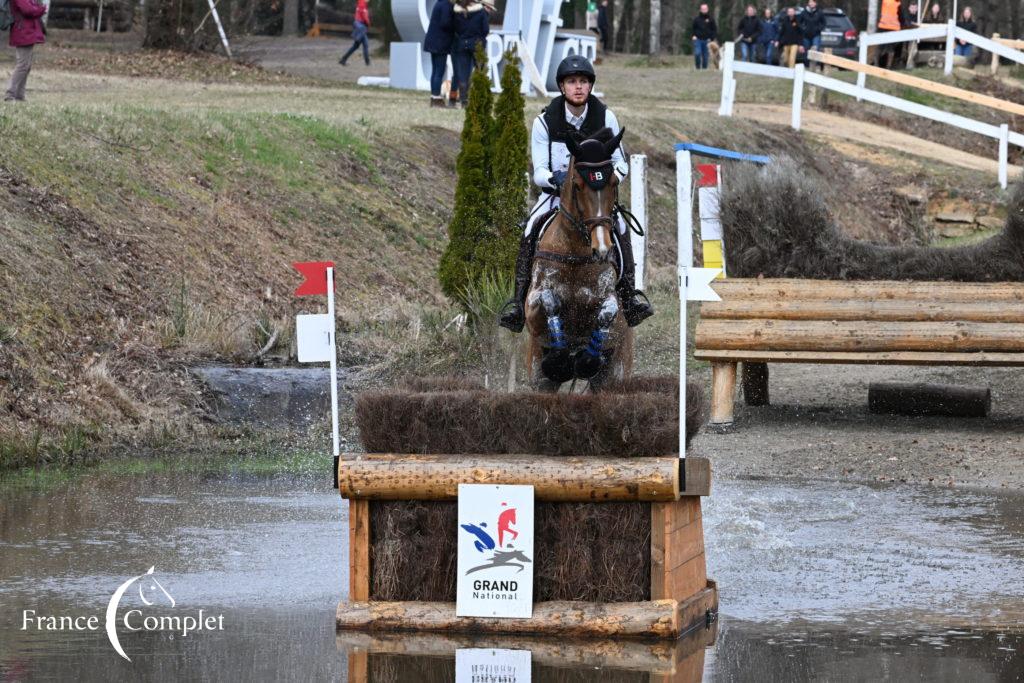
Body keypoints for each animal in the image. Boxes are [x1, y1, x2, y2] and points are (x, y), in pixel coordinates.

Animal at [528, 129, 630, 393]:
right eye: (577, 185)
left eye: (614, 183)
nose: (602, 248)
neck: (575, 251)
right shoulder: (532, 306)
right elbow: (548, 299)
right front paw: (560, 360)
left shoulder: (610, 302)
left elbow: (608, 311)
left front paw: (586, 360)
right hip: (538, 373)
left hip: (615, 372)